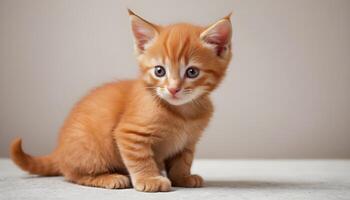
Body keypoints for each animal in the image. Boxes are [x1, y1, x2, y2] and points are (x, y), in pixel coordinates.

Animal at [10, 9, 232, 192]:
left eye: (192, 72)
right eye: (159, 71)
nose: (173, 89)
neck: (184, 113)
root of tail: (59, 150)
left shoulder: (188, 141)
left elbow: (183, 160)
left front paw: (183, 178)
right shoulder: (130, 133)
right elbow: (141, 159)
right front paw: (149, 179)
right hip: (90, 149)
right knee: (73, 174)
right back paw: (110, 178)